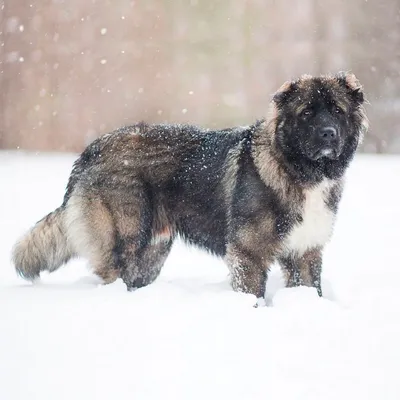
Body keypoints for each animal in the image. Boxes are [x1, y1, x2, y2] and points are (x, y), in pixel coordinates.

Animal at [12, 71, 368, 304]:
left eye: (337, 110)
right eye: (307, 112)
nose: (328, 134)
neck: (298, 170)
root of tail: (91, 150)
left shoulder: (305, 252)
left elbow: (311, 289)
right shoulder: (248, 253)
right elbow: (252, 293)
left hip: (153, 252)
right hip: (125, 239)